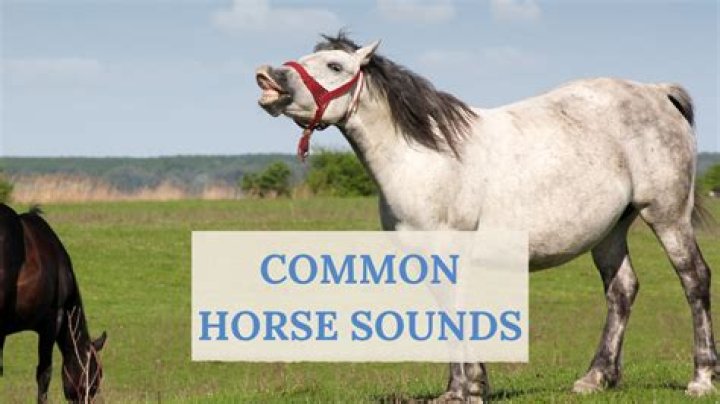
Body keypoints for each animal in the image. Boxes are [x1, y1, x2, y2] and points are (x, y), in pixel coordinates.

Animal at [254, 33, 718, 401]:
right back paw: (595, 378)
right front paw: (467, 385)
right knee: (622, 290)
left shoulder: (448, 246)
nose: (268, 78)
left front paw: (464, 390)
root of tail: (657, 92)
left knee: (694, 279)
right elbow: (448, 314)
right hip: (610, 230)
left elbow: (456, 312)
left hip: (667, 215)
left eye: (335, 66)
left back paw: (701, 378)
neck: (422, 155)